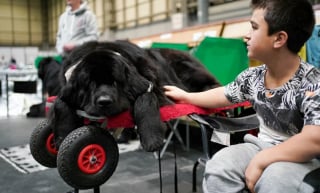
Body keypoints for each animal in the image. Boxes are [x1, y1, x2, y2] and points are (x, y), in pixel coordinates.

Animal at [50, 40, 220, 152]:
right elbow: (60, 102)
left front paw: (152, 138)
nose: (104, 101)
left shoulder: (155, 87)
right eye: (90, 83)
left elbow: (145, 98)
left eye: (115, 81)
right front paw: (62, 137)